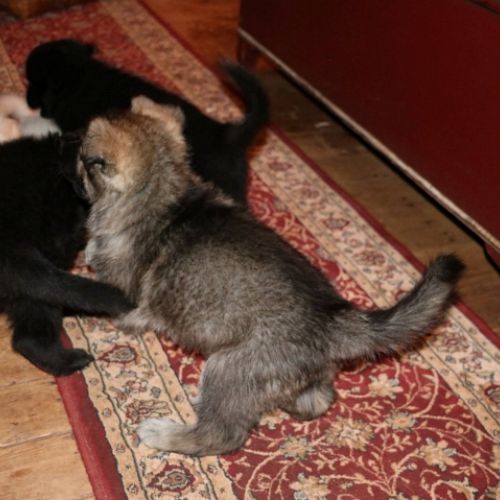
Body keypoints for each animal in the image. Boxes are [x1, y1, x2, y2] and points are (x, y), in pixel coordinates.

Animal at [77, 97, 464, 456]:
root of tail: (331, 319)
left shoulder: (125, 293)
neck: (164, 194)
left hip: (229, 368)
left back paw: (164, 433)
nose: (71, 161)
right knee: (318, 399)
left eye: (83, 159)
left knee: (220, 435)